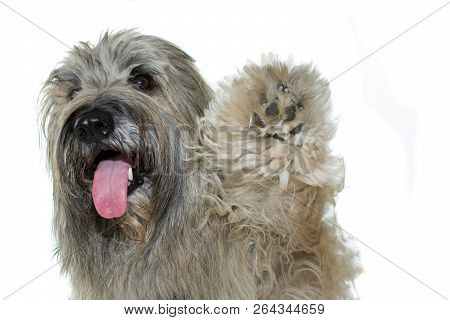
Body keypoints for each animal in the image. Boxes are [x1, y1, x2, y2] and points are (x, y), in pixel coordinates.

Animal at [40, 30, 360, 300]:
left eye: (143, 80)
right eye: (73, 93)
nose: (90, 124)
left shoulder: (289, 258)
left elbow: (276, 199)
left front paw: (278, 113)